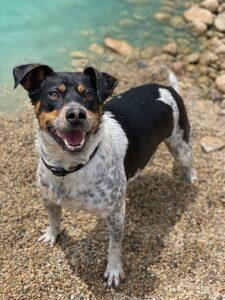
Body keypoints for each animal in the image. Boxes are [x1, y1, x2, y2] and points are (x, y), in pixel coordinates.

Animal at [13, 64, 197, 288]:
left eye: (89, 95)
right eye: (54, 93)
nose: (76, 114)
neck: (71, 167)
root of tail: (166, 88)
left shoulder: (116, 214)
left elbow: (114, 247)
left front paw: (114, 271)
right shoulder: (48, 199)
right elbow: (54, 219)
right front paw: (52, 235)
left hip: (180, 146)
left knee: (189, 162)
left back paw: (191, 179)